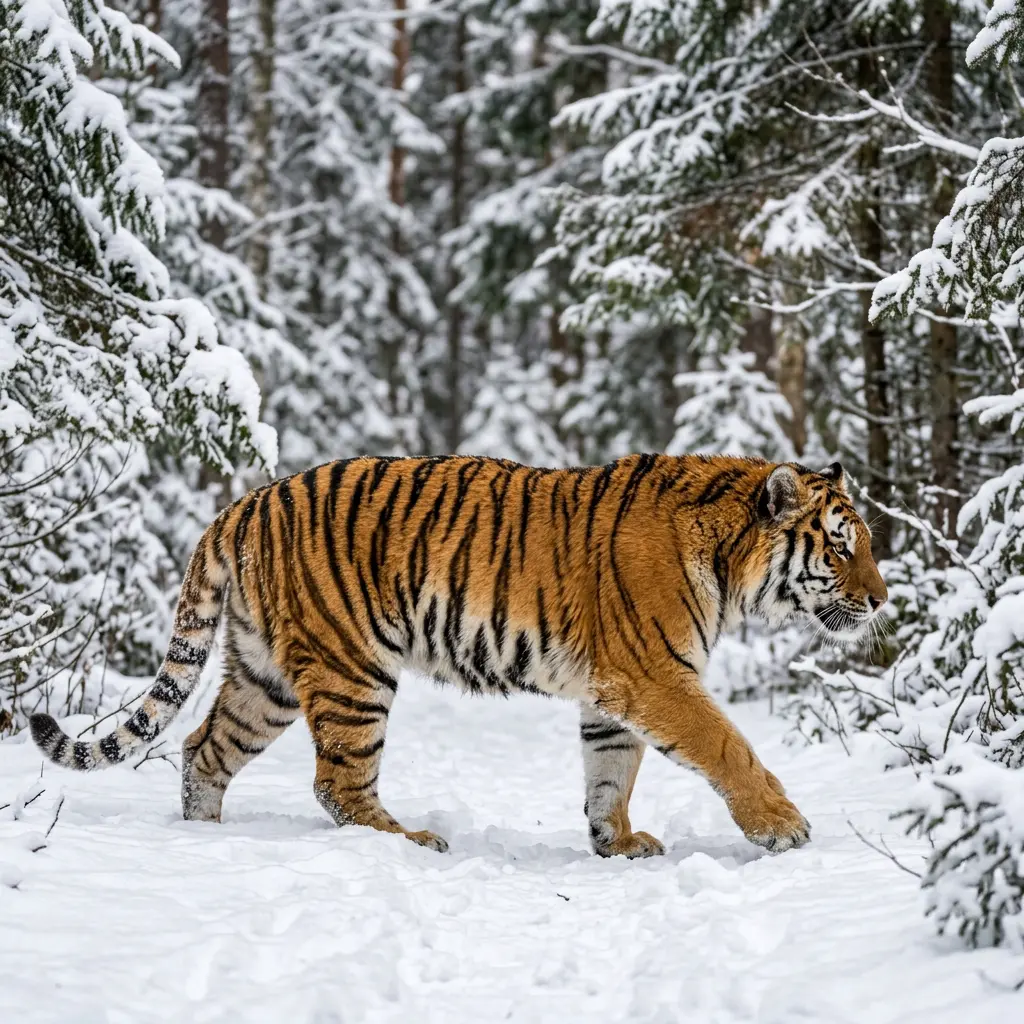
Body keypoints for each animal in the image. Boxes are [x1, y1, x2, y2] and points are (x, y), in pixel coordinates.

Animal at [30, 454, 887, 857]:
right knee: (337, 783)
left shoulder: (613, 691)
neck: (732, 564)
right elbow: (727, 745)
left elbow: (611, 771)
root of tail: (242, 504)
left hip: (264, 677)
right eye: (843, 548)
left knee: (204, 748)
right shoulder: (653, 674)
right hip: (352, 669)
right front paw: (783, 827)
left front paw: (616, 843)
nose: (882, 599)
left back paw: (203, 837)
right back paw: (408, 840)